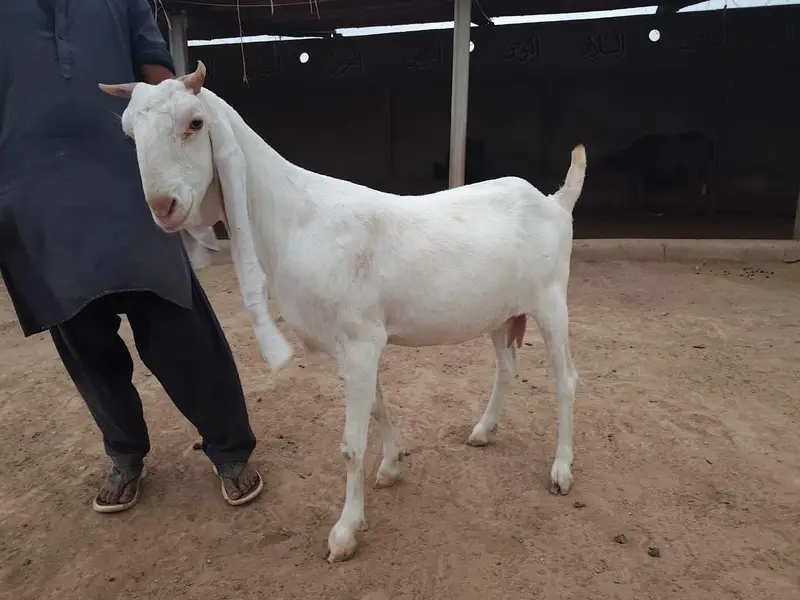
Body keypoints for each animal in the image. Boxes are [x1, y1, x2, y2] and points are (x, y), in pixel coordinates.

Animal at [100, 61, 585, 564]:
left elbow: (352, 445)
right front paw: (390, 467)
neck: (297, 218)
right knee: (507, 367)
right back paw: (484, 430)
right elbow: (376, 407)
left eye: (195, 123)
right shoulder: (352, 347)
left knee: (566, 379)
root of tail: (554, 202)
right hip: (501, 312)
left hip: (551, 300)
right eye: (129, 132)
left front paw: (345, 531)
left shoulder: (360, 339)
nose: (164, 207)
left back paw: (561, 469)